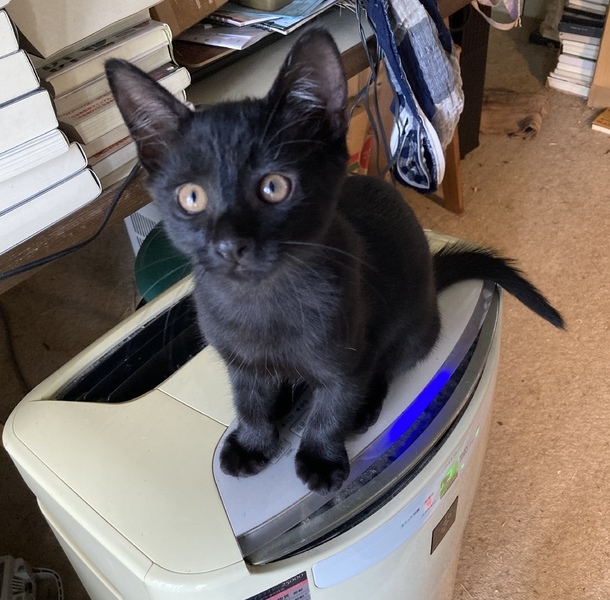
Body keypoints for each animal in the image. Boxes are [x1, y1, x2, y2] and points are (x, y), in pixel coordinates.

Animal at [106, 28, 564, 495]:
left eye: (274, 187)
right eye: (191, 197)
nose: (230, 244)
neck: (263, 303)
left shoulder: (348, 357)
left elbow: (330, 410)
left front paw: (321, 460)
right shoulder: (240, 363)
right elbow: (249, 402)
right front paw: (252, 444)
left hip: (411, 331)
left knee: (385, 369)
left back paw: (362, 409)